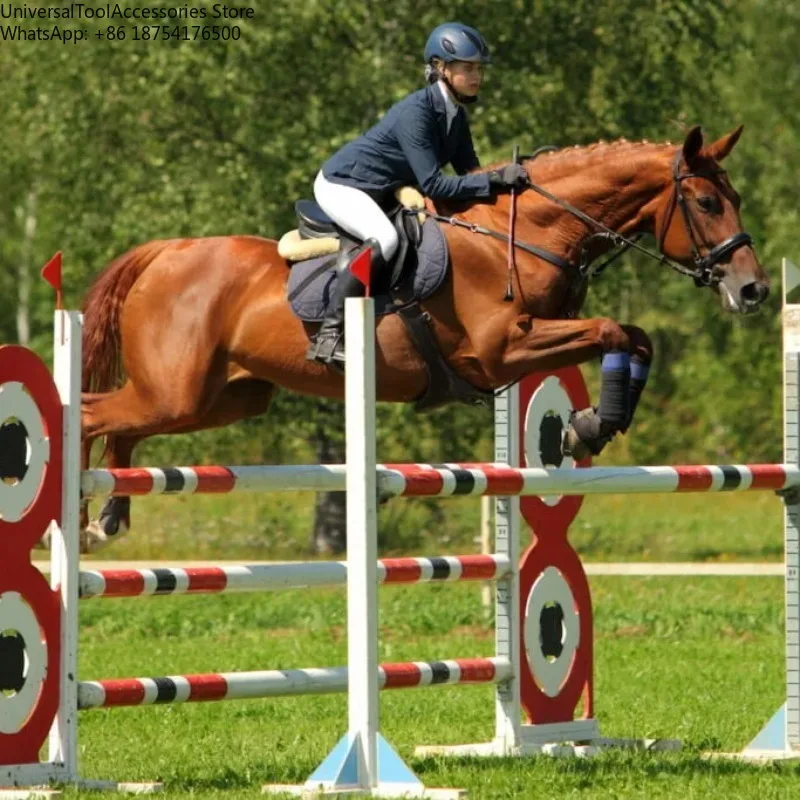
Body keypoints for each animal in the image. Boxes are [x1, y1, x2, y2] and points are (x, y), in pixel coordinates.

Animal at [77, 125, 768, 552]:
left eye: (733, 196)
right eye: (707, 203)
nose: (754, 289)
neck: (531, 231)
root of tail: (165, 252)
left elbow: (637, 336)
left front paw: (595, 423)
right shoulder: (502, 351)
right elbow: (611, 329)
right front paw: (588, 426)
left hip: (222, 399)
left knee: (122, 426)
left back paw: (113, 514)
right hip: (178, 392)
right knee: (88, 415)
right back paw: (79, 521)